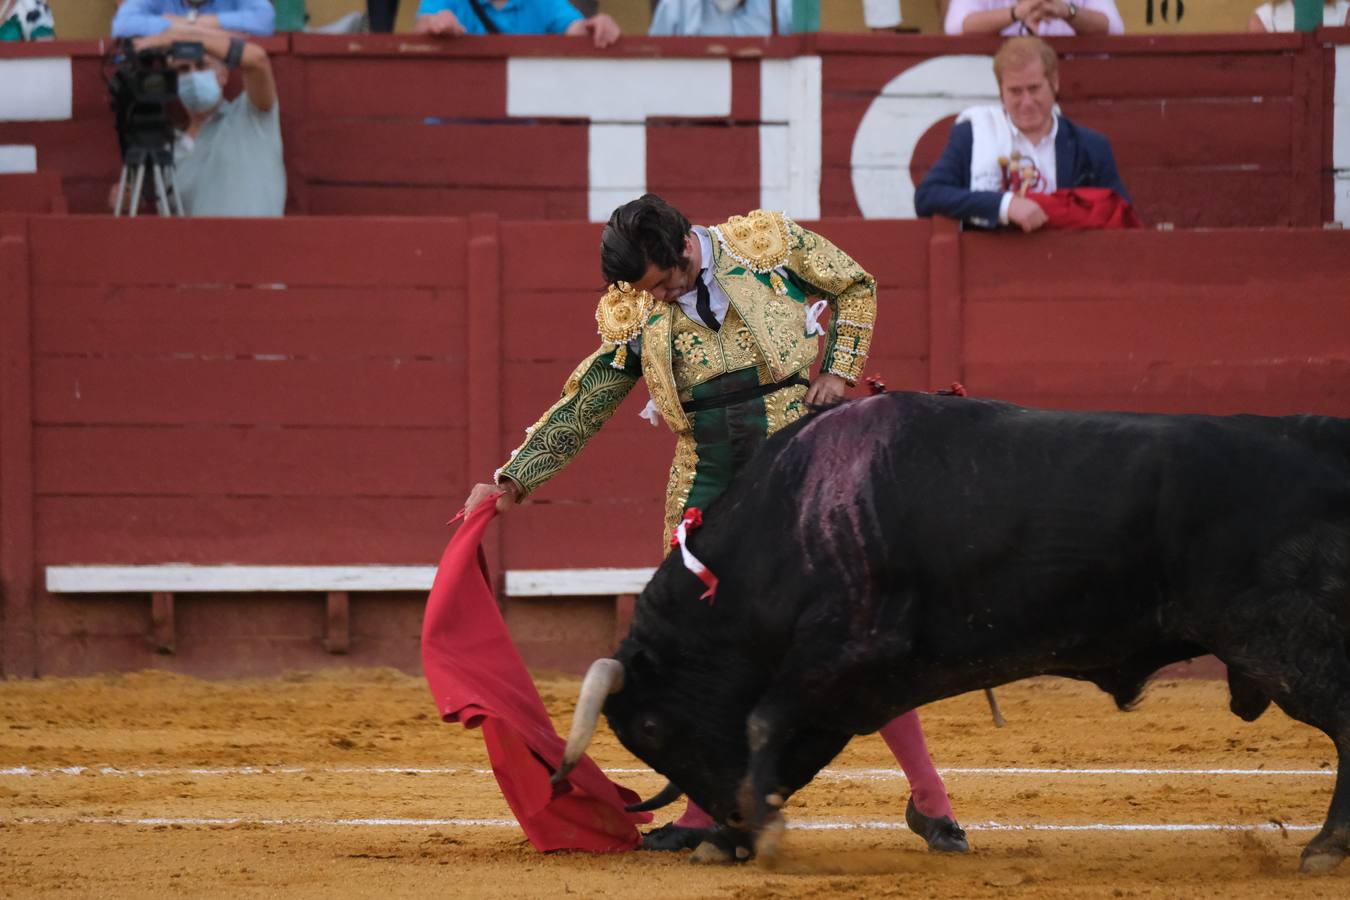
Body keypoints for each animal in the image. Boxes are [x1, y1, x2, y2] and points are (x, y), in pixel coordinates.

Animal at [550, 394, 1350, 874]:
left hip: (1281, 642)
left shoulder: (846, 653)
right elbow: (780, 743)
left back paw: (1325, 847)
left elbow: (761, 721)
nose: (734, 825)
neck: (789, 518)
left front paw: (760, 833)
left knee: (1344, 722)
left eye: (651, 725)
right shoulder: (854, 685)